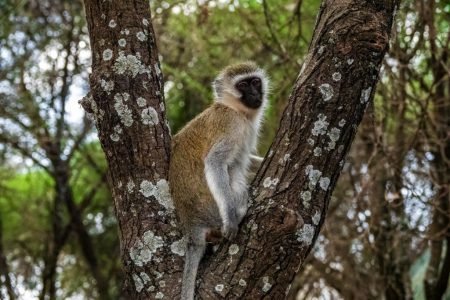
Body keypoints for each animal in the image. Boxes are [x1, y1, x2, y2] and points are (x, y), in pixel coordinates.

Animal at [168, 61, 268, 300]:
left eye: (255, 81)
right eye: (243, 85)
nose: (255, 93)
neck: (234, 109)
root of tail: (191, 222)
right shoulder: (231, 125)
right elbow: (215, 162)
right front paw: (231, 220)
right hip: (213, 209)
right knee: (235, 179)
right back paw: (238, 211)